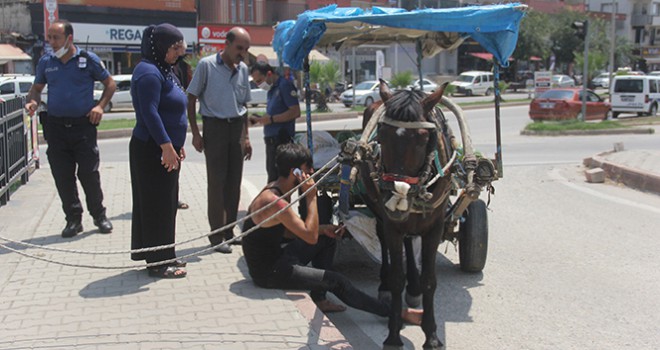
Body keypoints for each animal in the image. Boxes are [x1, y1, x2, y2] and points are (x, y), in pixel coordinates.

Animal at [356, 80, 454, 350]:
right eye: (382, 135)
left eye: (422, 138)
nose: (396, 193)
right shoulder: (392, 224)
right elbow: (397, 277)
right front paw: (393, 334)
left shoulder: (435, 226)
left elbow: (430, 280)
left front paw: (432, 335)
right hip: (380, 212)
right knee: (385, 241)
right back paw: (386, 286)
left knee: (410, 242)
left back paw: (414, 288)